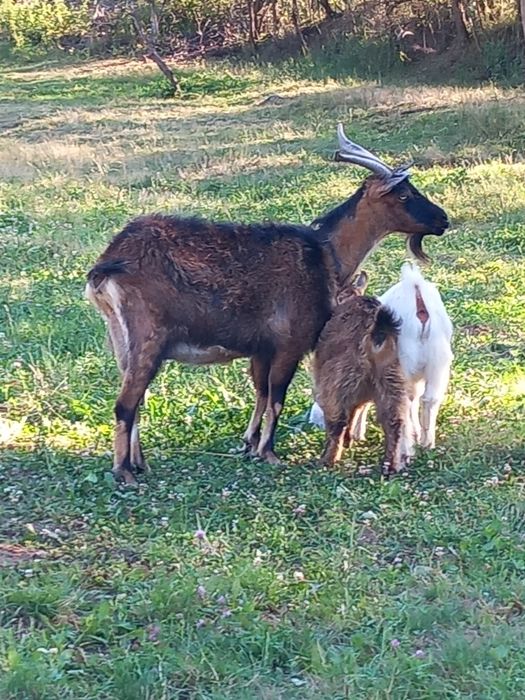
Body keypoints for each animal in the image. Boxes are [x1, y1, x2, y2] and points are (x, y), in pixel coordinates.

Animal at [312, 271, 410, 472]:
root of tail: (376, 331)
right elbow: (355, 411)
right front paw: (349, 440)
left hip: (336, 380)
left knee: (337, 421)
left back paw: (328, 460)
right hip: (391, 379)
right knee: (395, 422)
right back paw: (390, 465)